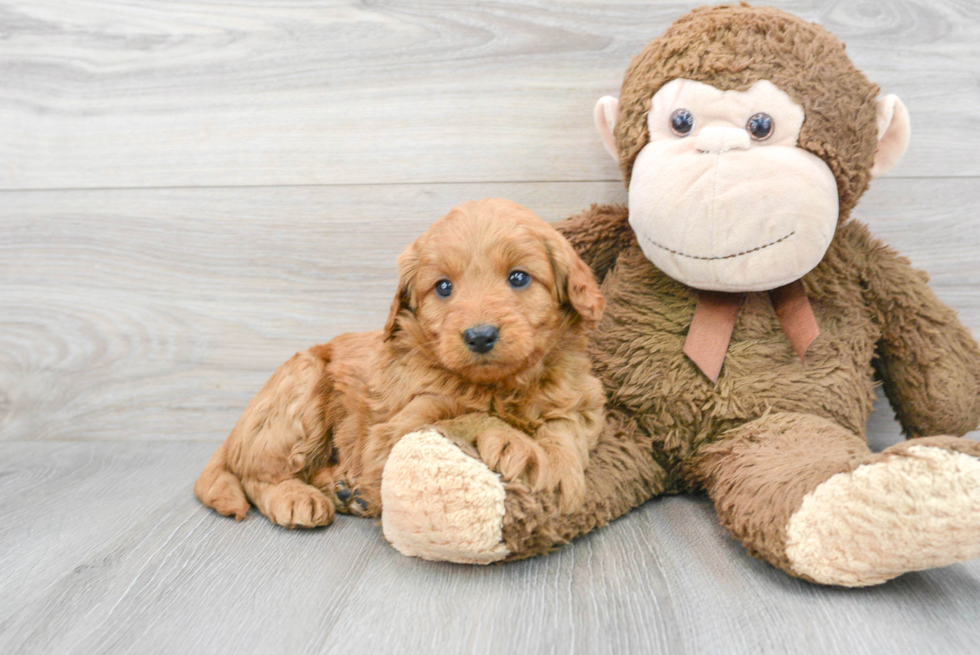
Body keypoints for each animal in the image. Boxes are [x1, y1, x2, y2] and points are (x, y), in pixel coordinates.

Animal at [194, 200, 604, 528]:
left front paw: (563, 472)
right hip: (302, 384)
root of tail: (236, 430)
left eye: (518, 277)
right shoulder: (397, 429)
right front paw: (514, 442)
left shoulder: (581, 401)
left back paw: (346, 491)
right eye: (443, 287)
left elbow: (565, 429)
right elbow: (462, 417)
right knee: (256, 473)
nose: (480, 336)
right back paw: (298, 498)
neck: (496, 386)